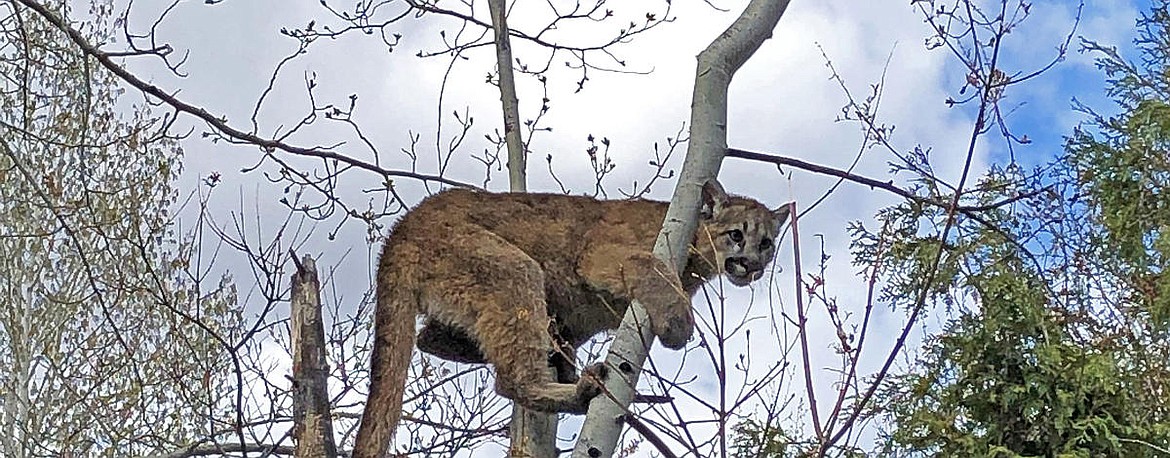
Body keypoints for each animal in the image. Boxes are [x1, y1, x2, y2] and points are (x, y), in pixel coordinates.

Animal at [346, 181, 786, 456]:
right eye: (736, 234)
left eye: (766, 242)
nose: (752, 264)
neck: (696, 254)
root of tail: (401, 229)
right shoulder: (604, 256)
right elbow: (651, 269)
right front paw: (678, 326)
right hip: (511, 268)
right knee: (509, 379)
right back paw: (573, 390)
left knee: (430, 339)